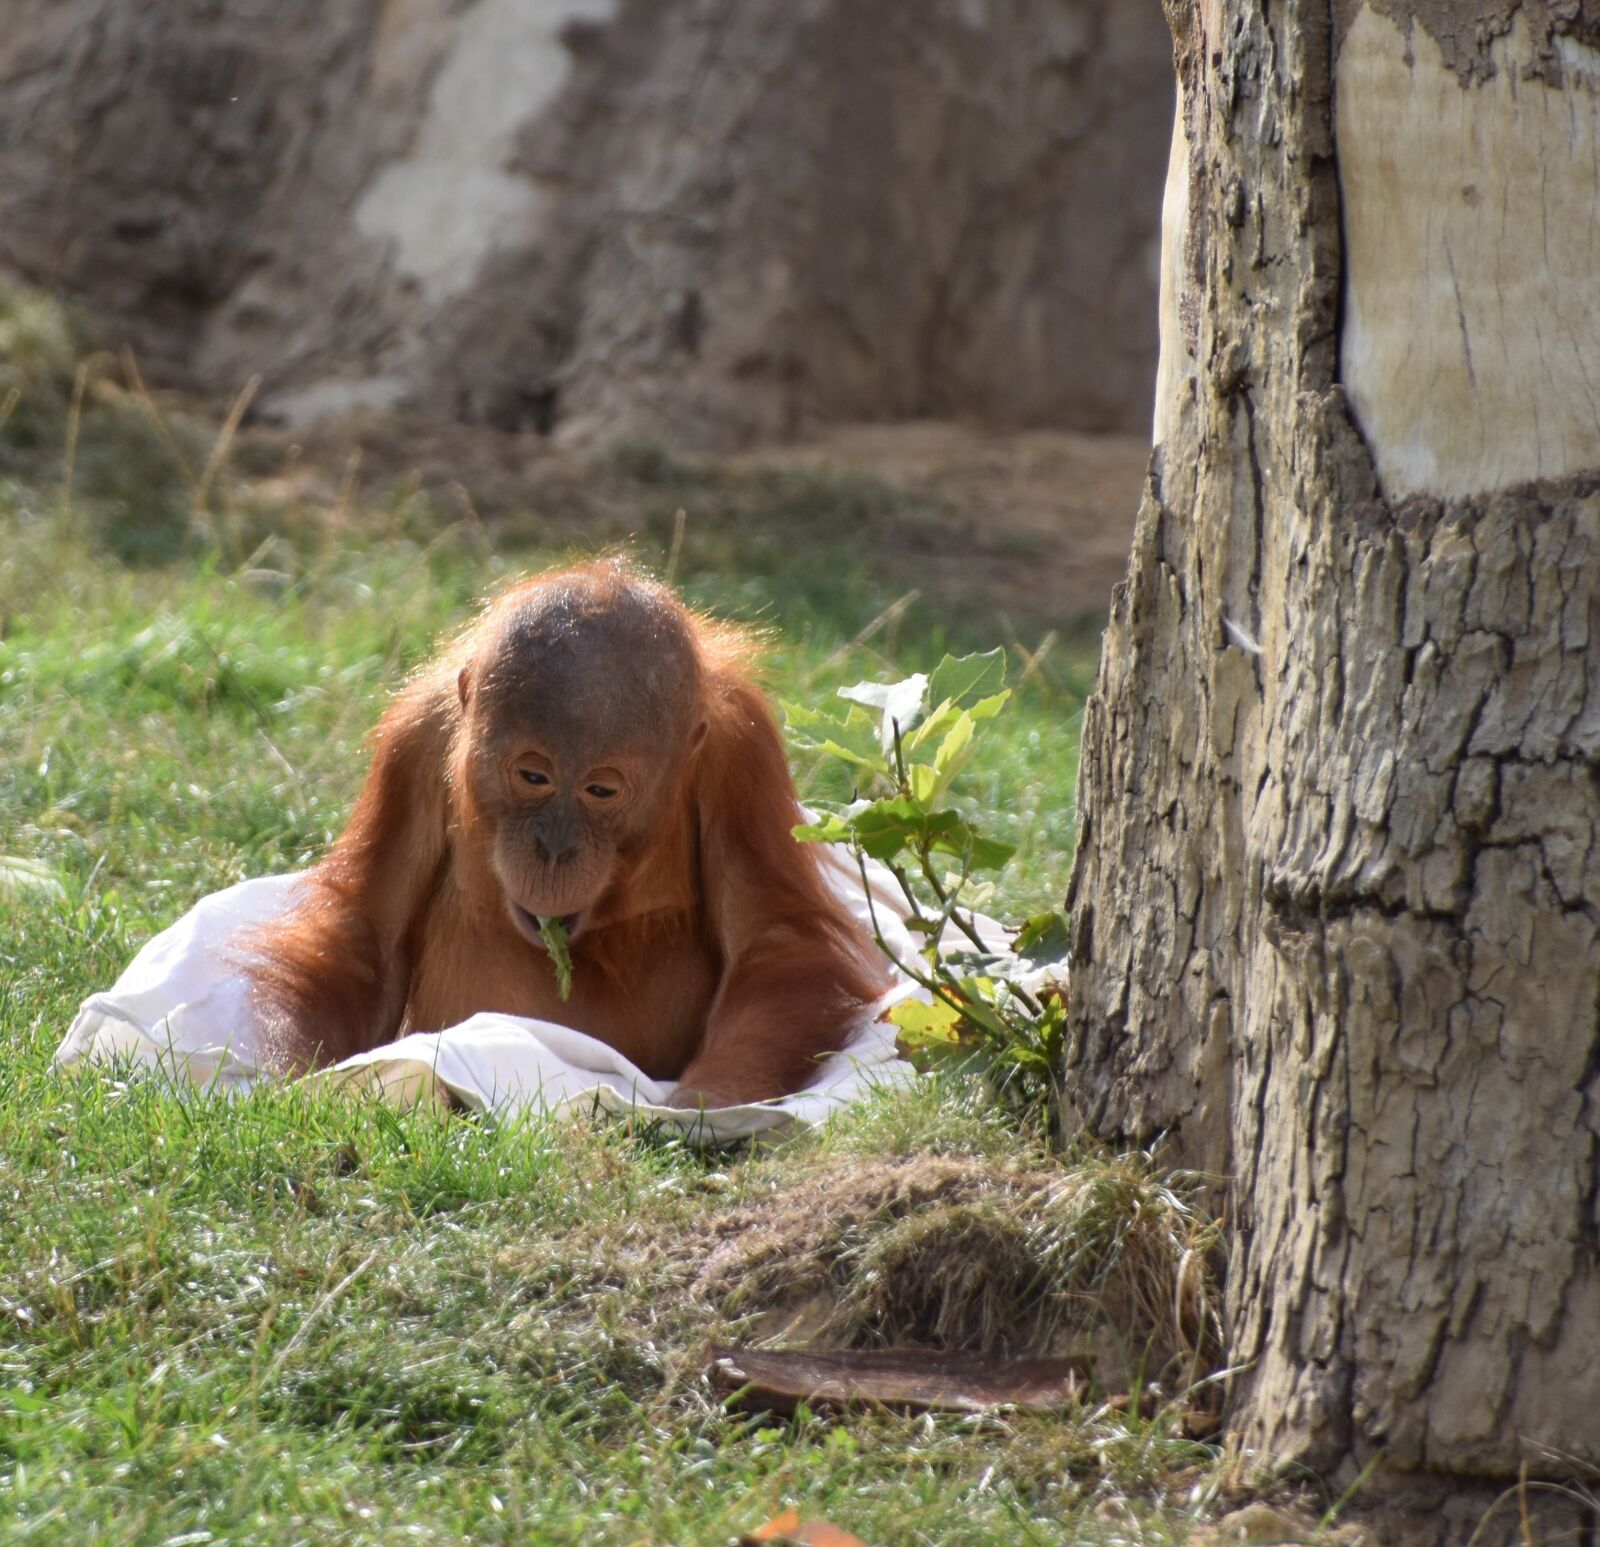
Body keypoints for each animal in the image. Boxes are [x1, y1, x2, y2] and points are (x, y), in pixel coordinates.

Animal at [240, 560, 892, 1108]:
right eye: (533, 776)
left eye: (600, 791)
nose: (553, 849)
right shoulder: (415, 736)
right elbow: (368, 928)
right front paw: (308, 1079)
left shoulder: (741, 758)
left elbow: (774, 937)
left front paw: (707, 1099)